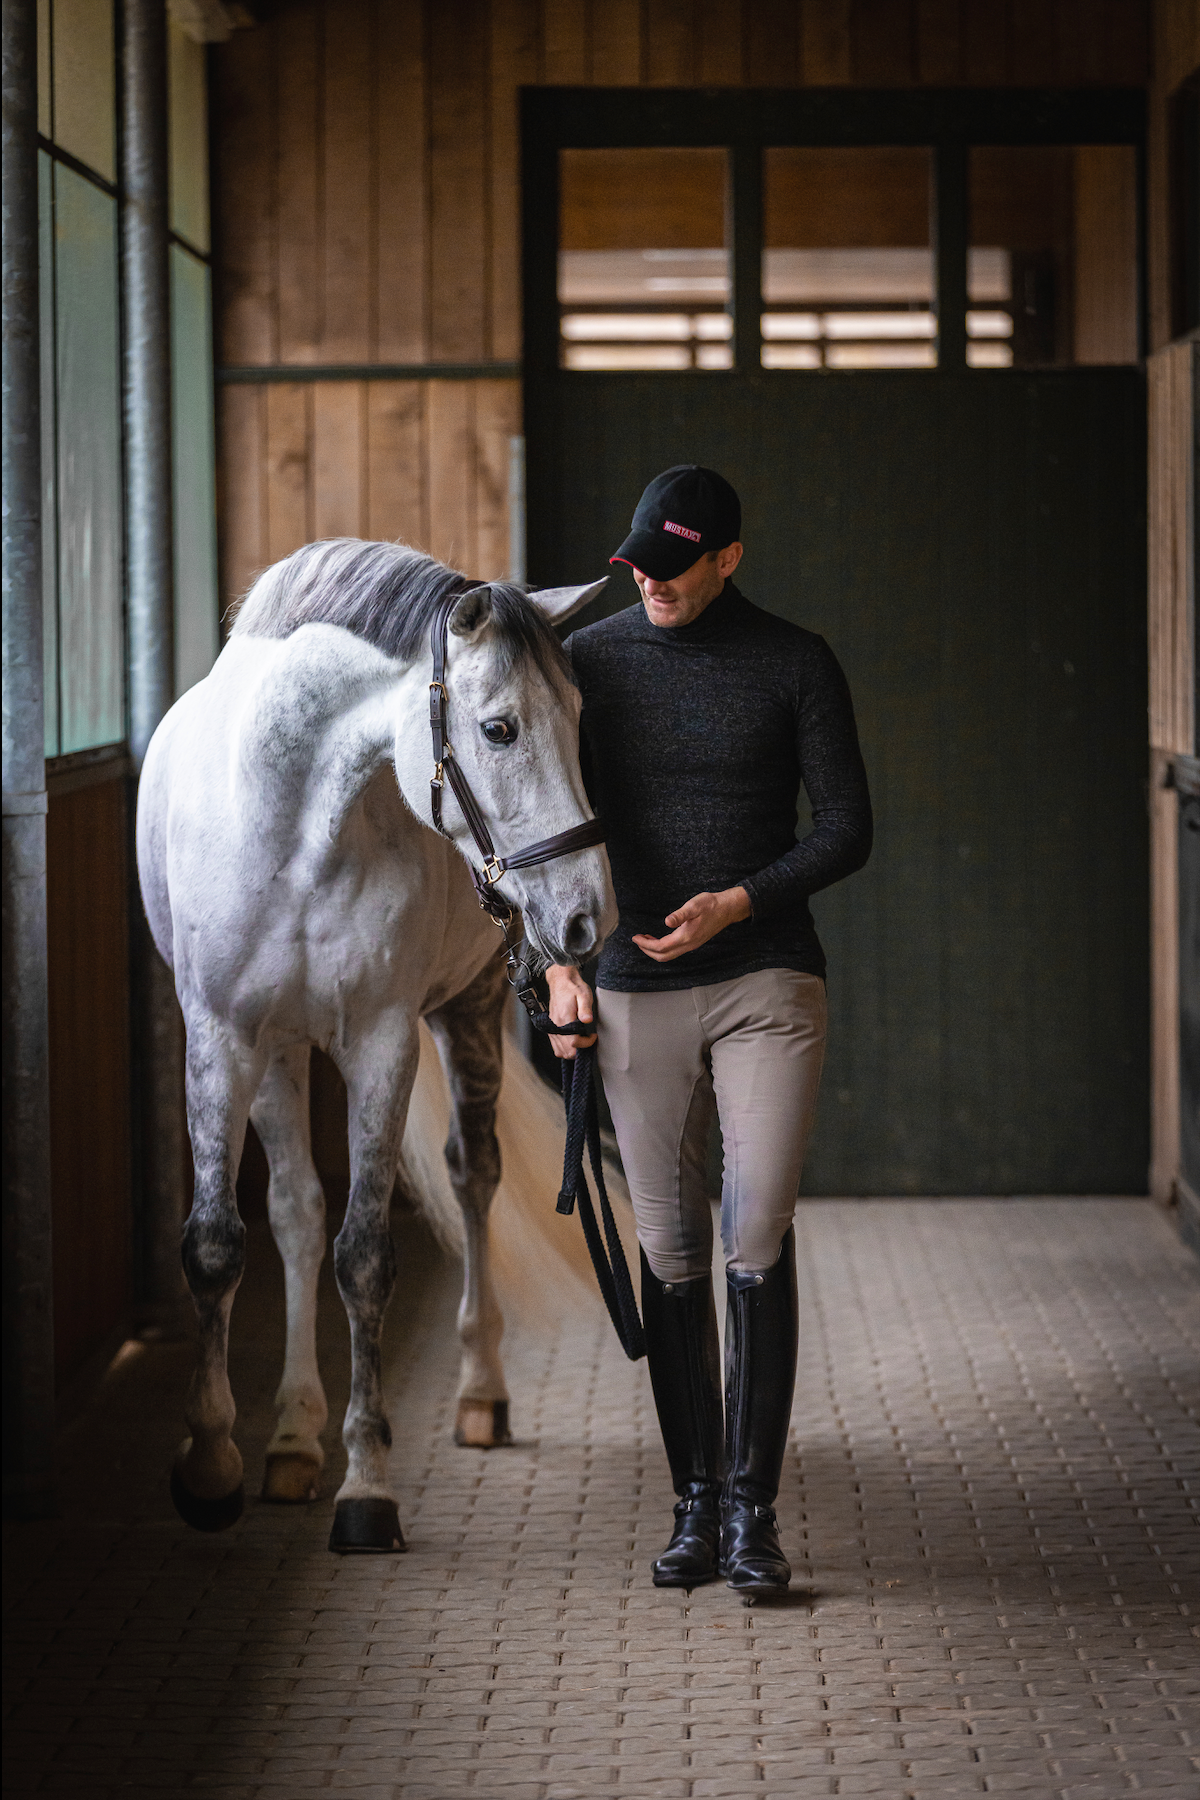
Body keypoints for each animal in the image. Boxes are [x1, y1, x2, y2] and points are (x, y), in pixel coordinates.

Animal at [135, 540, 615, 1555]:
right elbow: (220, 1243)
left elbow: (364, 1256)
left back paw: (479, 1394)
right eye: (501, 729)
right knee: (293, 1212)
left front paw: (368, 1487)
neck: (287, 829)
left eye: (579, 717)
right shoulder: (221, 1037)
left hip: (467, 1010)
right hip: (279, 1056)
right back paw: (289, 1441)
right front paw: (212, 1465)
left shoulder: (383, 1043)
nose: (587, 918)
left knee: (473, 1175)